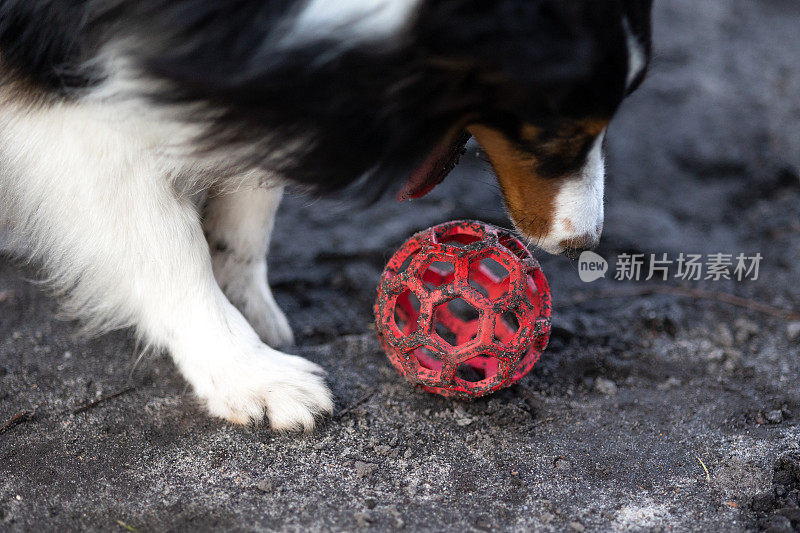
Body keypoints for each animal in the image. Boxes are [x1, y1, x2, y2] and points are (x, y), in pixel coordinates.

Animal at [0, 1, 648, 428]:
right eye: (556, 129)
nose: (581, 243)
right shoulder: (68, 86)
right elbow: (166, 245)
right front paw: (254, 376)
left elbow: (253, 196)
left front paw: (250, 305)